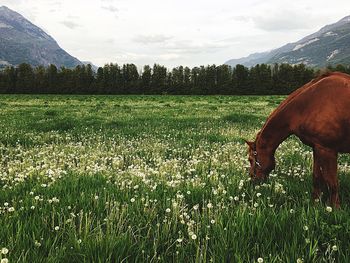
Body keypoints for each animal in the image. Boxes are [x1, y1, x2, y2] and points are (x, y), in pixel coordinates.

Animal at [246, 72, 350, 208]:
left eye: (250, 159)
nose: (252, 181)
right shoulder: (317, 148)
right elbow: (317, 178)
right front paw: (315, 204)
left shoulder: (328, 150)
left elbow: (332, 182)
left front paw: (335, 208)